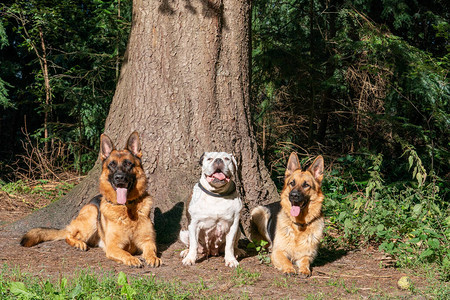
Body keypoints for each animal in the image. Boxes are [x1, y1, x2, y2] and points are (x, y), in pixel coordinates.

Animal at [21, 132, 162, 268]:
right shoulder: (113, 247)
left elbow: (151, 250)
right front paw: (131, 259)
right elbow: (125, 253)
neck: (127, 208)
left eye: (128, 163)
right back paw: (78, 243)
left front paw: (153, 258)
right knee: (68, 235)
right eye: (112, 165)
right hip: (92, 216)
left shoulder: (148, 241)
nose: (119, 178)